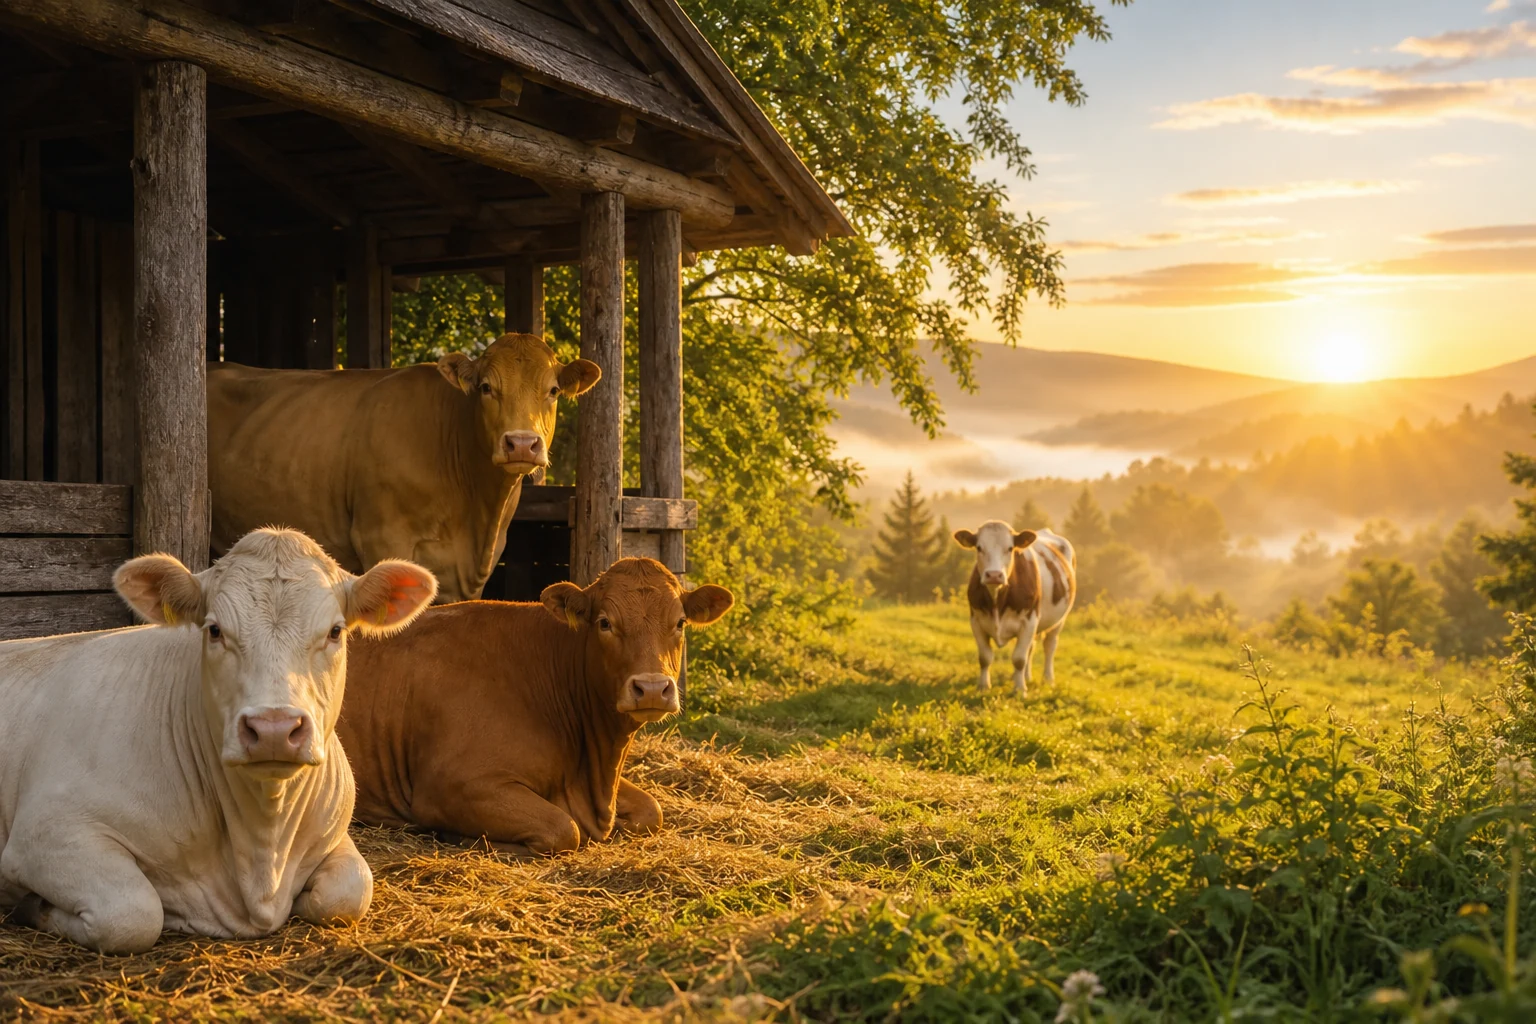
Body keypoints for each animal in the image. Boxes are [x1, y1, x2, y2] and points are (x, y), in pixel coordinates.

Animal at [0, 528, 436, 953]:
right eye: (215, 630)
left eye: (335, 631)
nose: (274, 728)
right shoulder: (43, 835)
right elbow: (133, 913)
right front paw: (36, 907)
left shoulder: (334, 831)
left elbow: (350, 891)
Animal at [337, 557, 735, 856]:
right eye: (605, 622)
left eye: (680, 622)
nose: (651, 688)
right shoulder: (450, 785)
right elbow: (564, 829)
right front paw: (462, 837)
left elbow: (652, 810)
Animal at [952, 522, 1077, 696]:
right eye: (979, 547)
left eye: (1010, 548)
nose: (994, 575)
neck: (997, 601)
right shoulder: (976, 621)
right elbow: (985, 657)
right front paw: (983, 686)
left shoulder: (1029, 621)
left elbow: (1019, 659)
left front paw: (1020, 690)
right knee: (1031, 647)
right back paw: (1026, 677)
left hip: (1059, 620)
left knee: (1049, 646)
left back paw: (1048, 679)